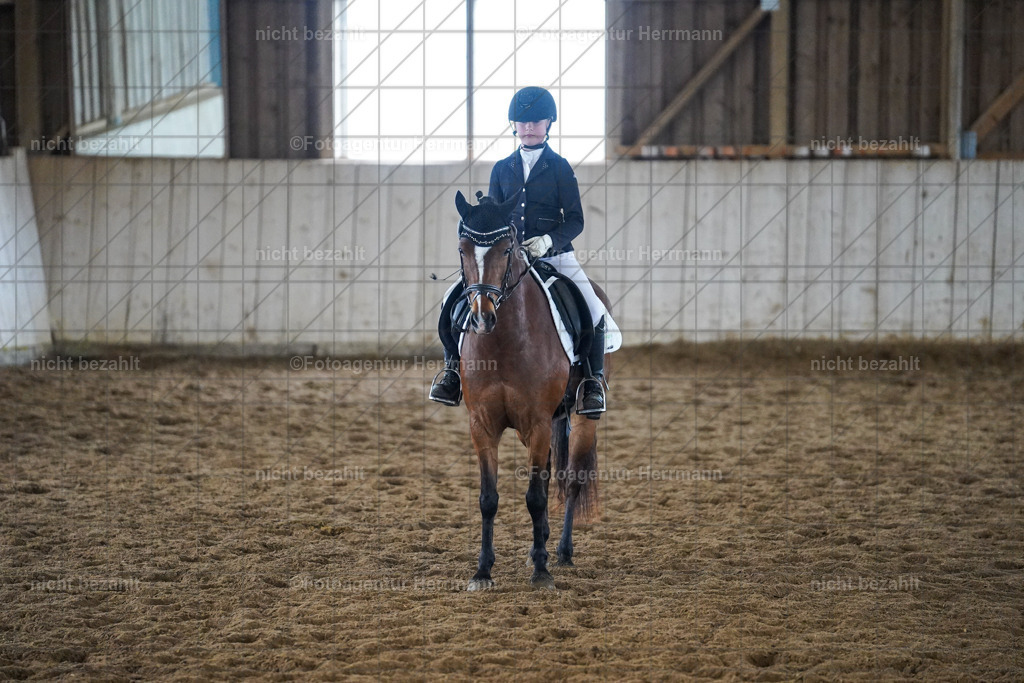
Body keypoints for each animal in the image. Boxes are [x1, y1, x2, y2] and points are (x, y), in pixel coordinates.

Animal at [451, 190, 611, 591]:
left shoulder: (537, 422)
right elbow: (488, 499)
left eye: (507, 248)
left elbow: (536, 497)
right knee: (553, 471)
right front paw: (483, 571)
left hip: (582, 419)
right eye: (462, 249)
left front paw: (542, 572)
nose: (482, 317)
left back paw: (562, 552)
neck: (504, 342)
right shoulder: (482, 425)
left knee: (572, 480)